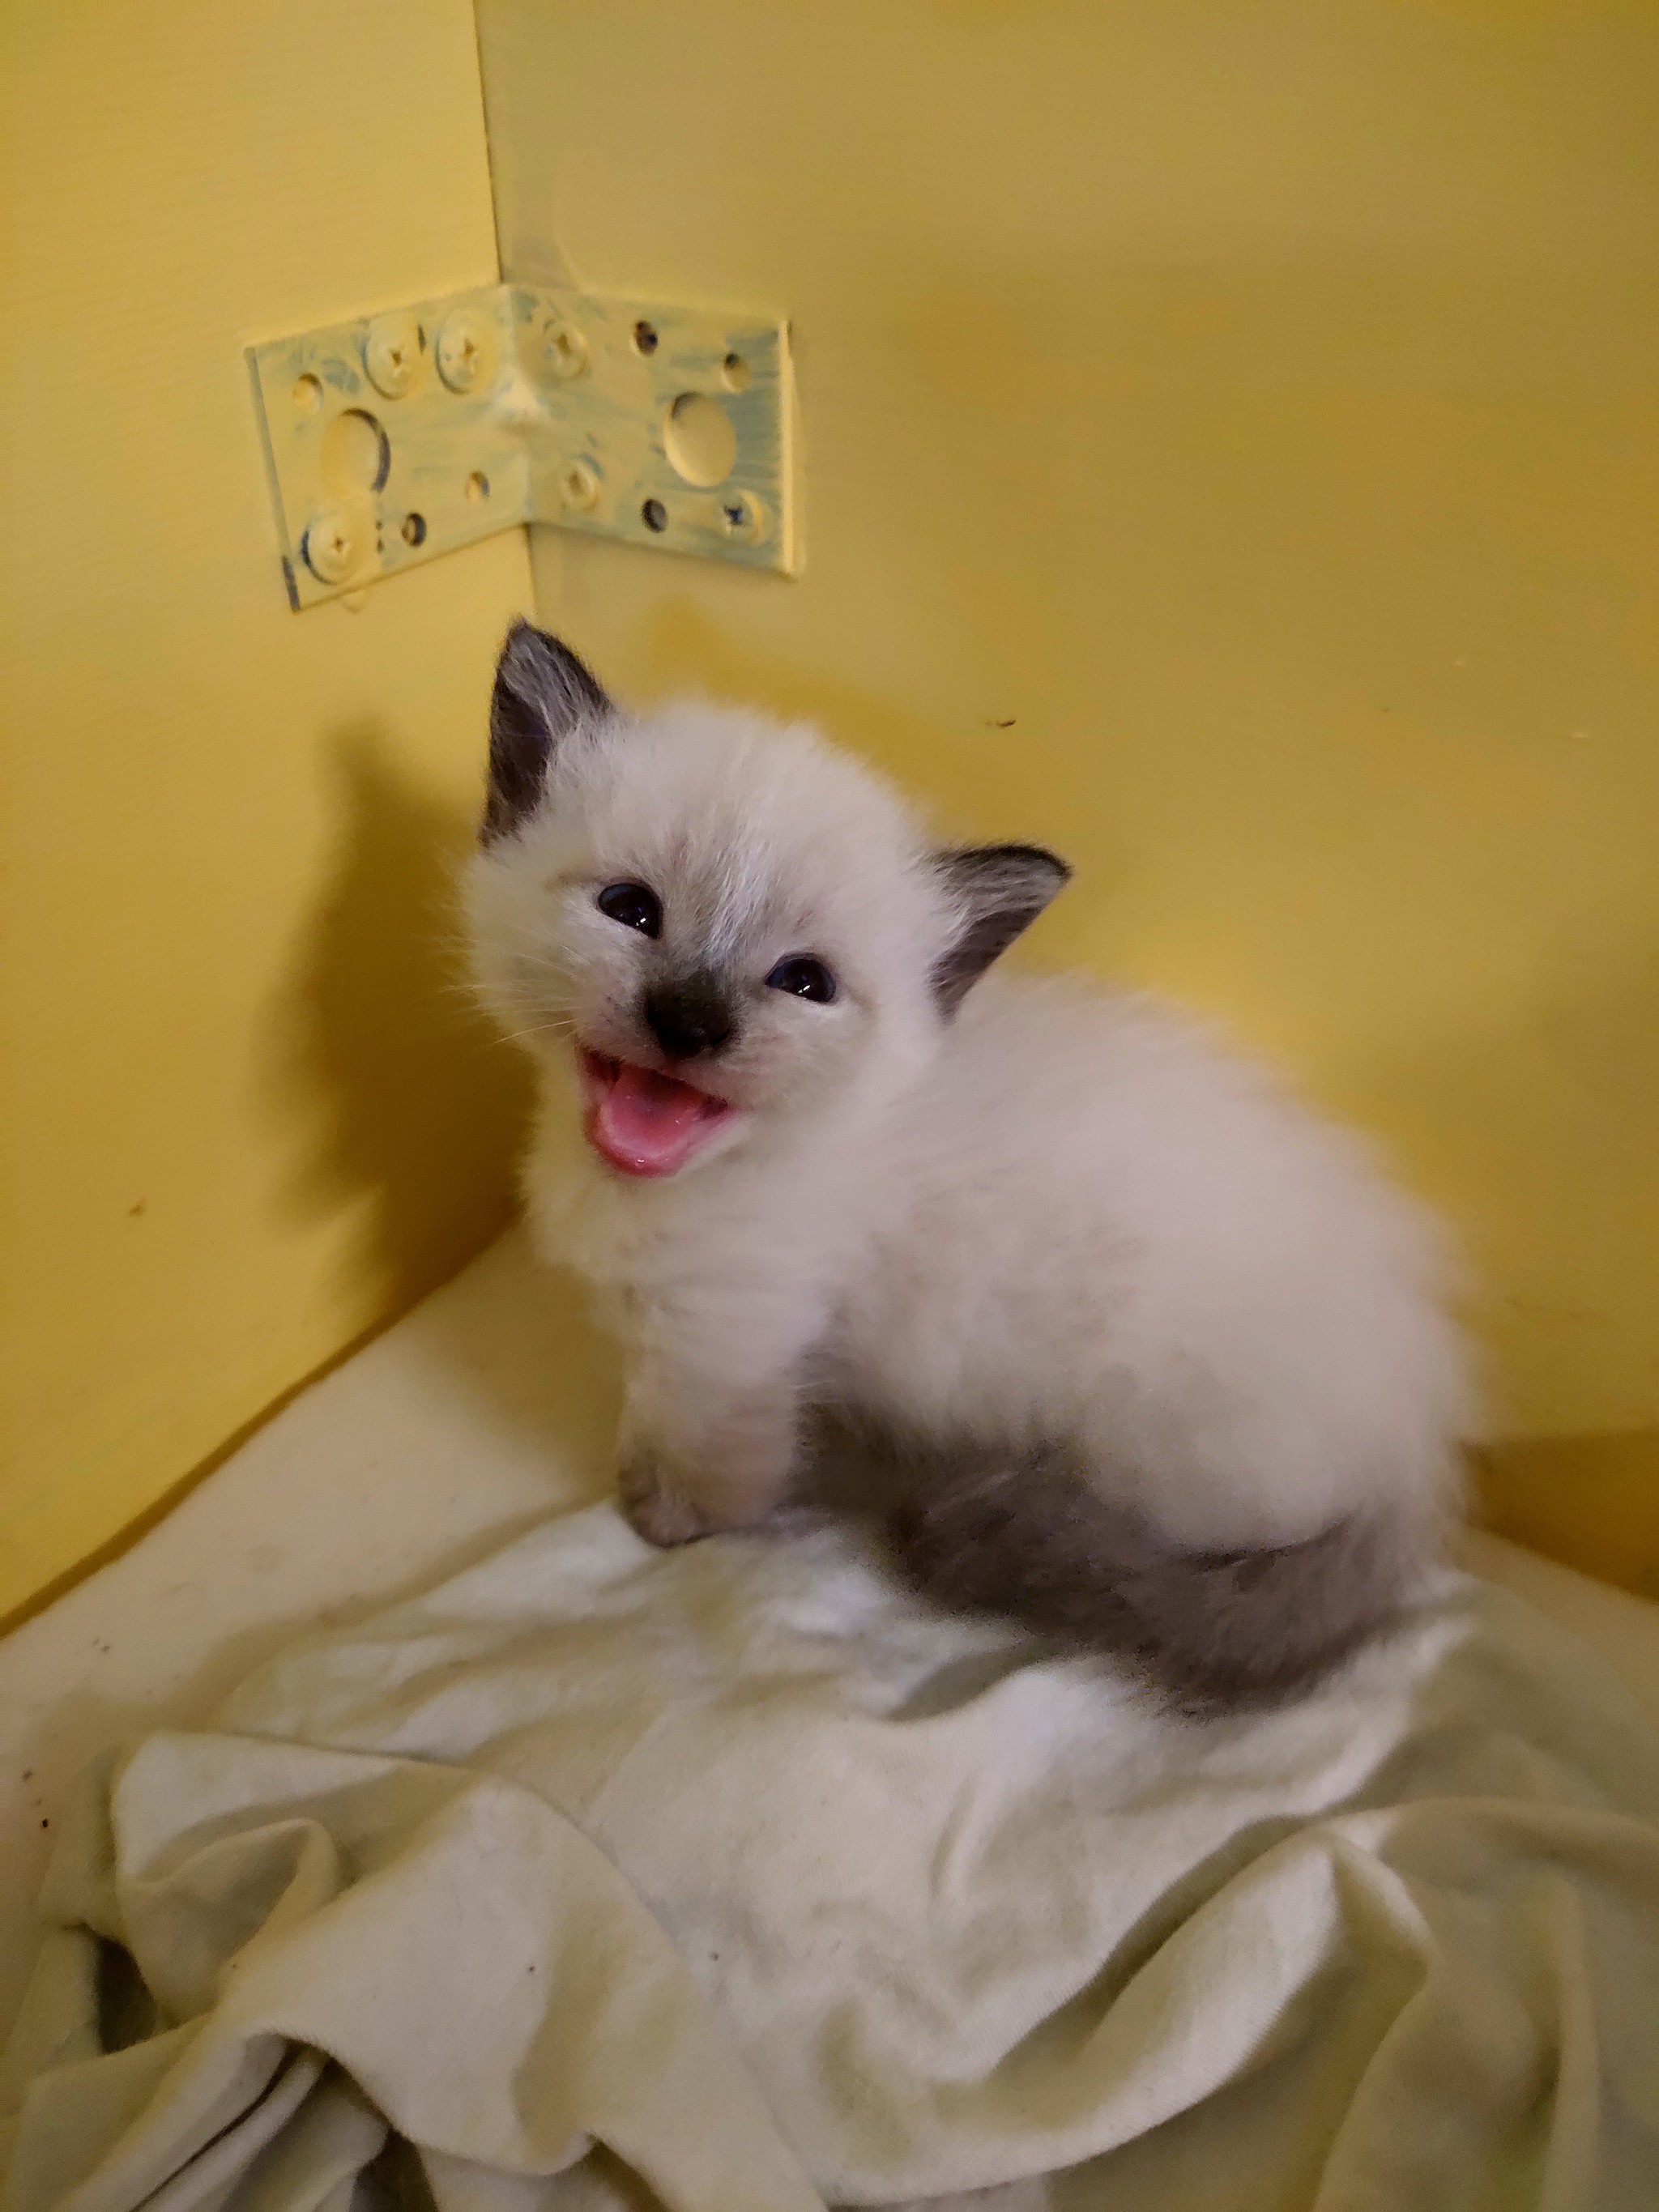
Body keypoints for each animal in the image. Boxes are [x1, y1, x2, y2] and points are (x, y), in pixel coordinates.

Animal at [464, 624, 1469, 1707]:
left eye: (803, 982)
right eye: (631, 910)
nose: (689, 1023)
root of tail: (1418, 1448)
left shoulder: (722, 1343)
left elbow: (701, 1457)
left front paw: (661, 1518)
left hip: (1150, 1449)